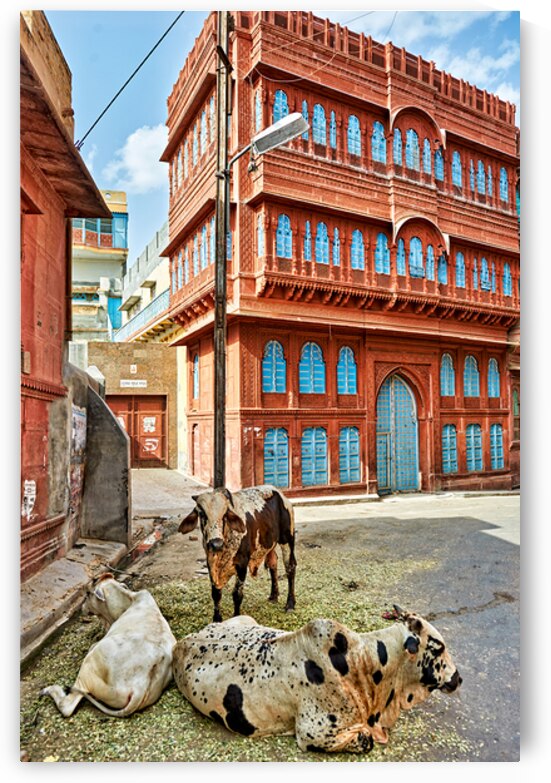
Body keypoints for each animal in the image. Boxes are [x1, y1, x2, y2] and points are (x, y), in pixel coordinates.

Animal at [40, 574, 176, 717]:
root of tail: (139, 686)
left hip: (88, 668)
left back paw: (47, 690)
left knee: (68, 705)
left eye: (87, 594)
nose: (82, 608)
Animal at [178, 485, 296, 623]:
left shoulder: (242, 564)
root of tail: (278, 492)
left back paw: (290, 604)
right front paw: (217, 619)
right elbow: (216, 594)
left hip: (287, 539)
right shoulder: (210, 564)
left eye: (225, 514)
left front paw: (237, 617)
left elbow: (237, 594)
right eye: (202, 514)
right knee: (273, 563)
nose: (216, 544)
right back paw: (273, 596)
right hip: (269, 543)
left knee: (290, 567)